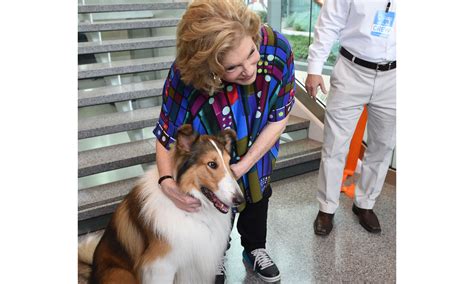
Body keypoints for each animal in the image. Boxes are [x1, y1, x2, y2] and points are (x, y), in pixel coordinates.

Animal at [78, 126, 244, 284]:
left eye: (229, 163)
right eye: (212, 164)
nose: (240, 199)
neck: (192, 212)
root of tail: (91, 271)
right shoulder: (161, 267)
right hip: (121, 273)